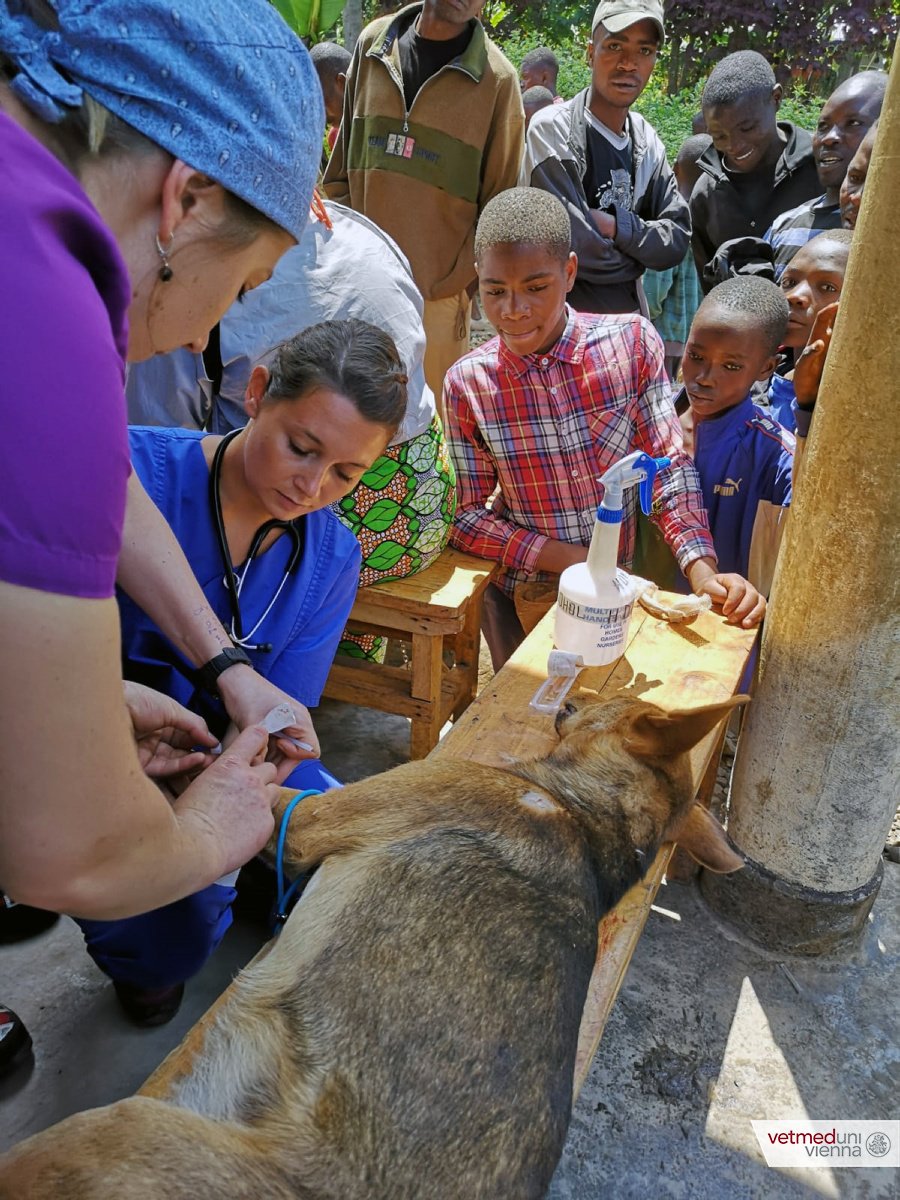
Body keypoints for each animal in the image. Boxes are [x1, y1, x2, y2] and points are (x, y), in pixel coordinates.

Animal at [0, 696, 748, 1200]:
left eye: (628, 703)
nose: (574, 693)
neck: (589, 818)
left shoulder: (298, 817)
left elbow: (229, 776)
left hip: (111, 1132)